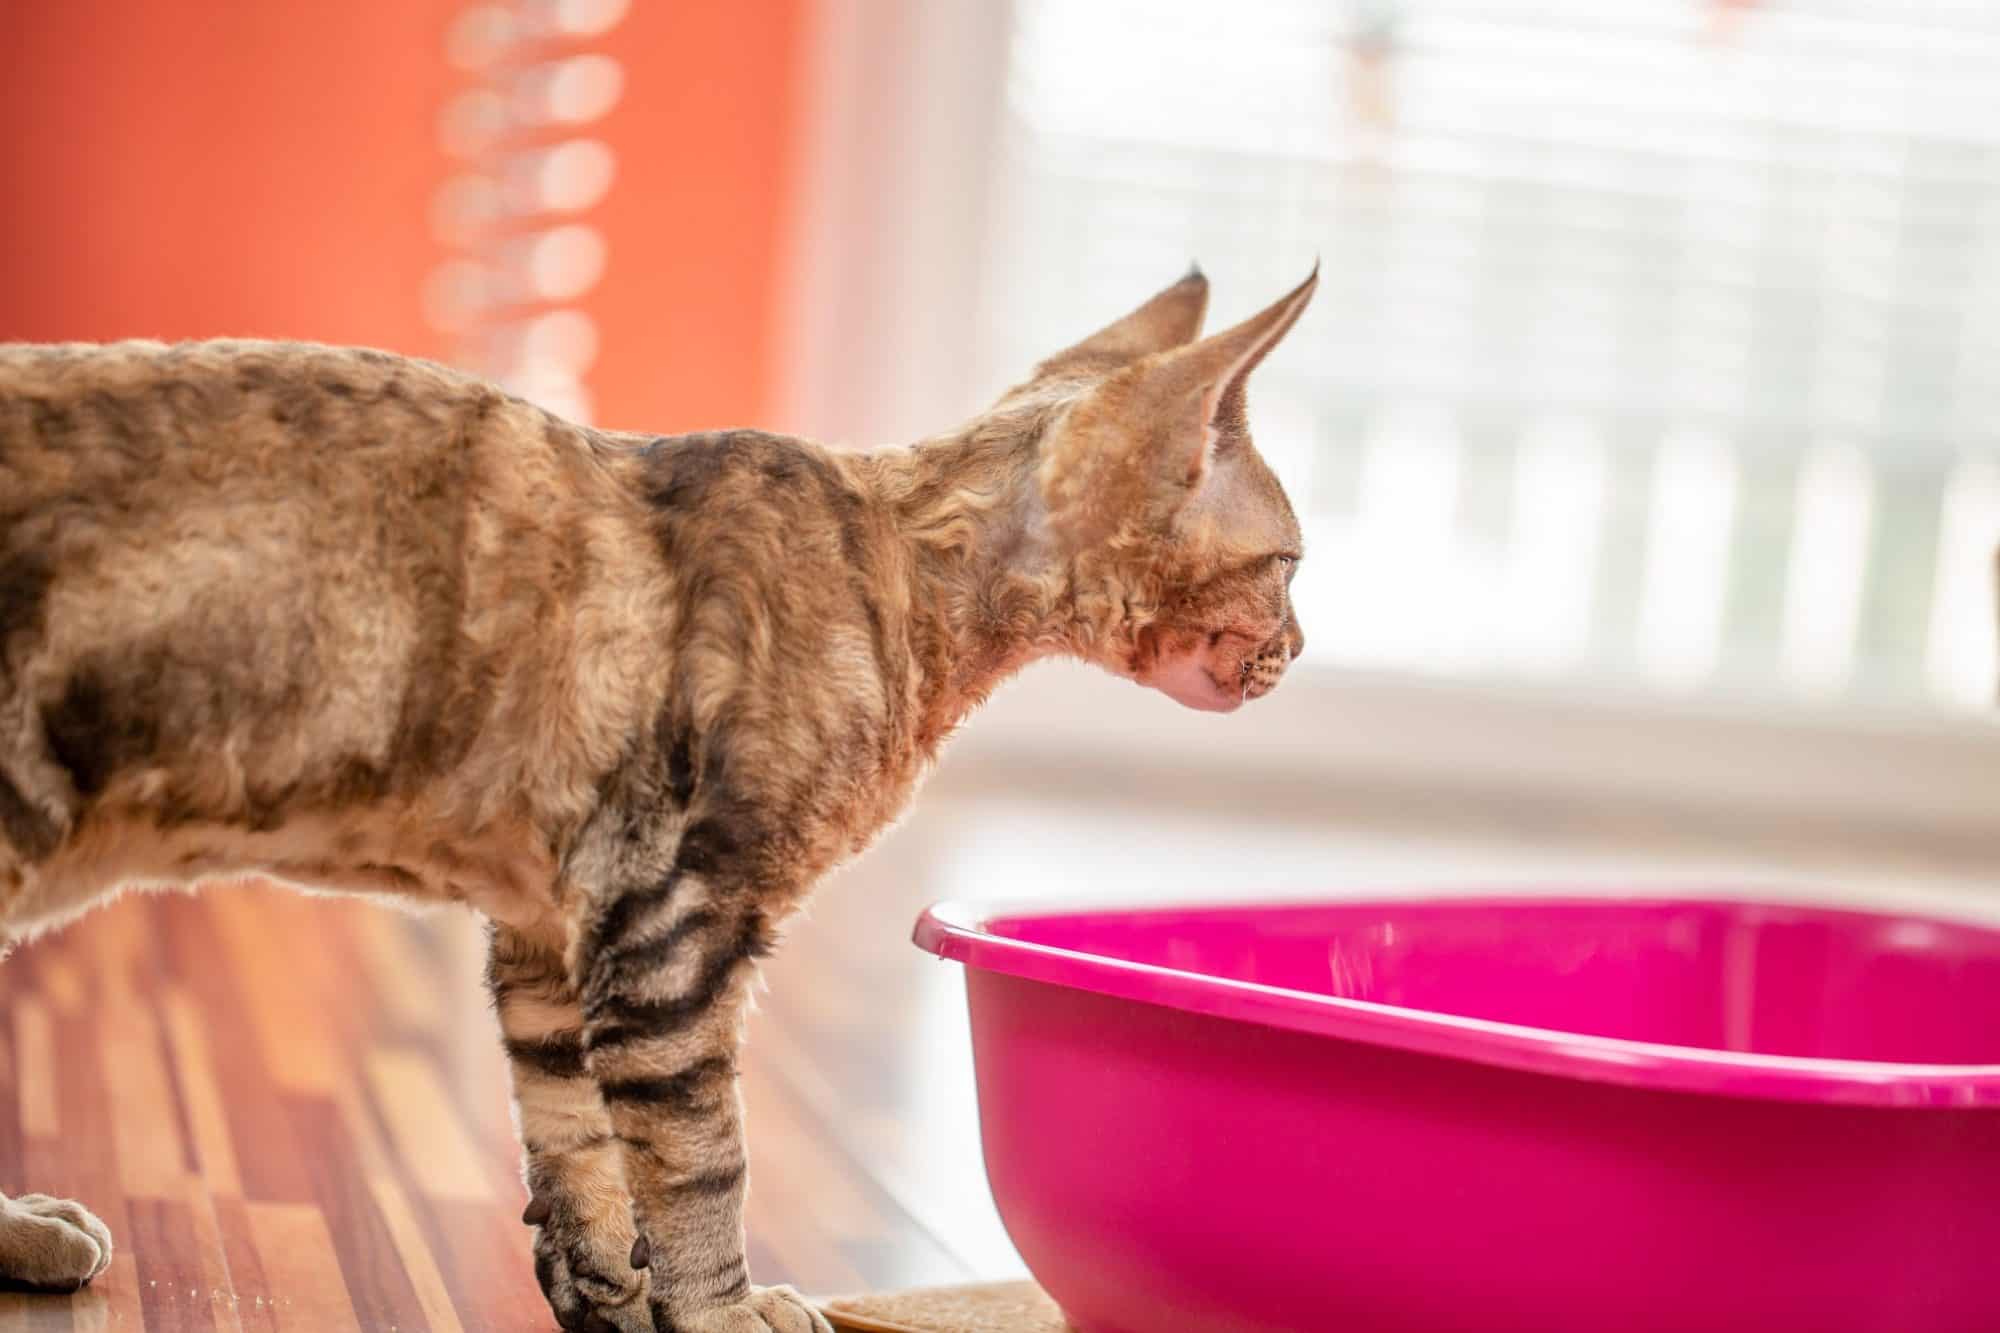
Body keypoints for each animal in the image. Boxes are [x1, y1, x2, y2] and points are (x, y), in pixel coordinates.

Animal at [0, 264, 1312, 1320]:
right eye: (1292, 563)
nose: (1301, 648)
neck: (906, 584)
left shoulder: (549, 929)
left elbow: (574, 1136)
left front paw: (610, 1292)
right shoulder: (673, 919)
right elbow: (699, 1163)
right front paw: (722, 1309)